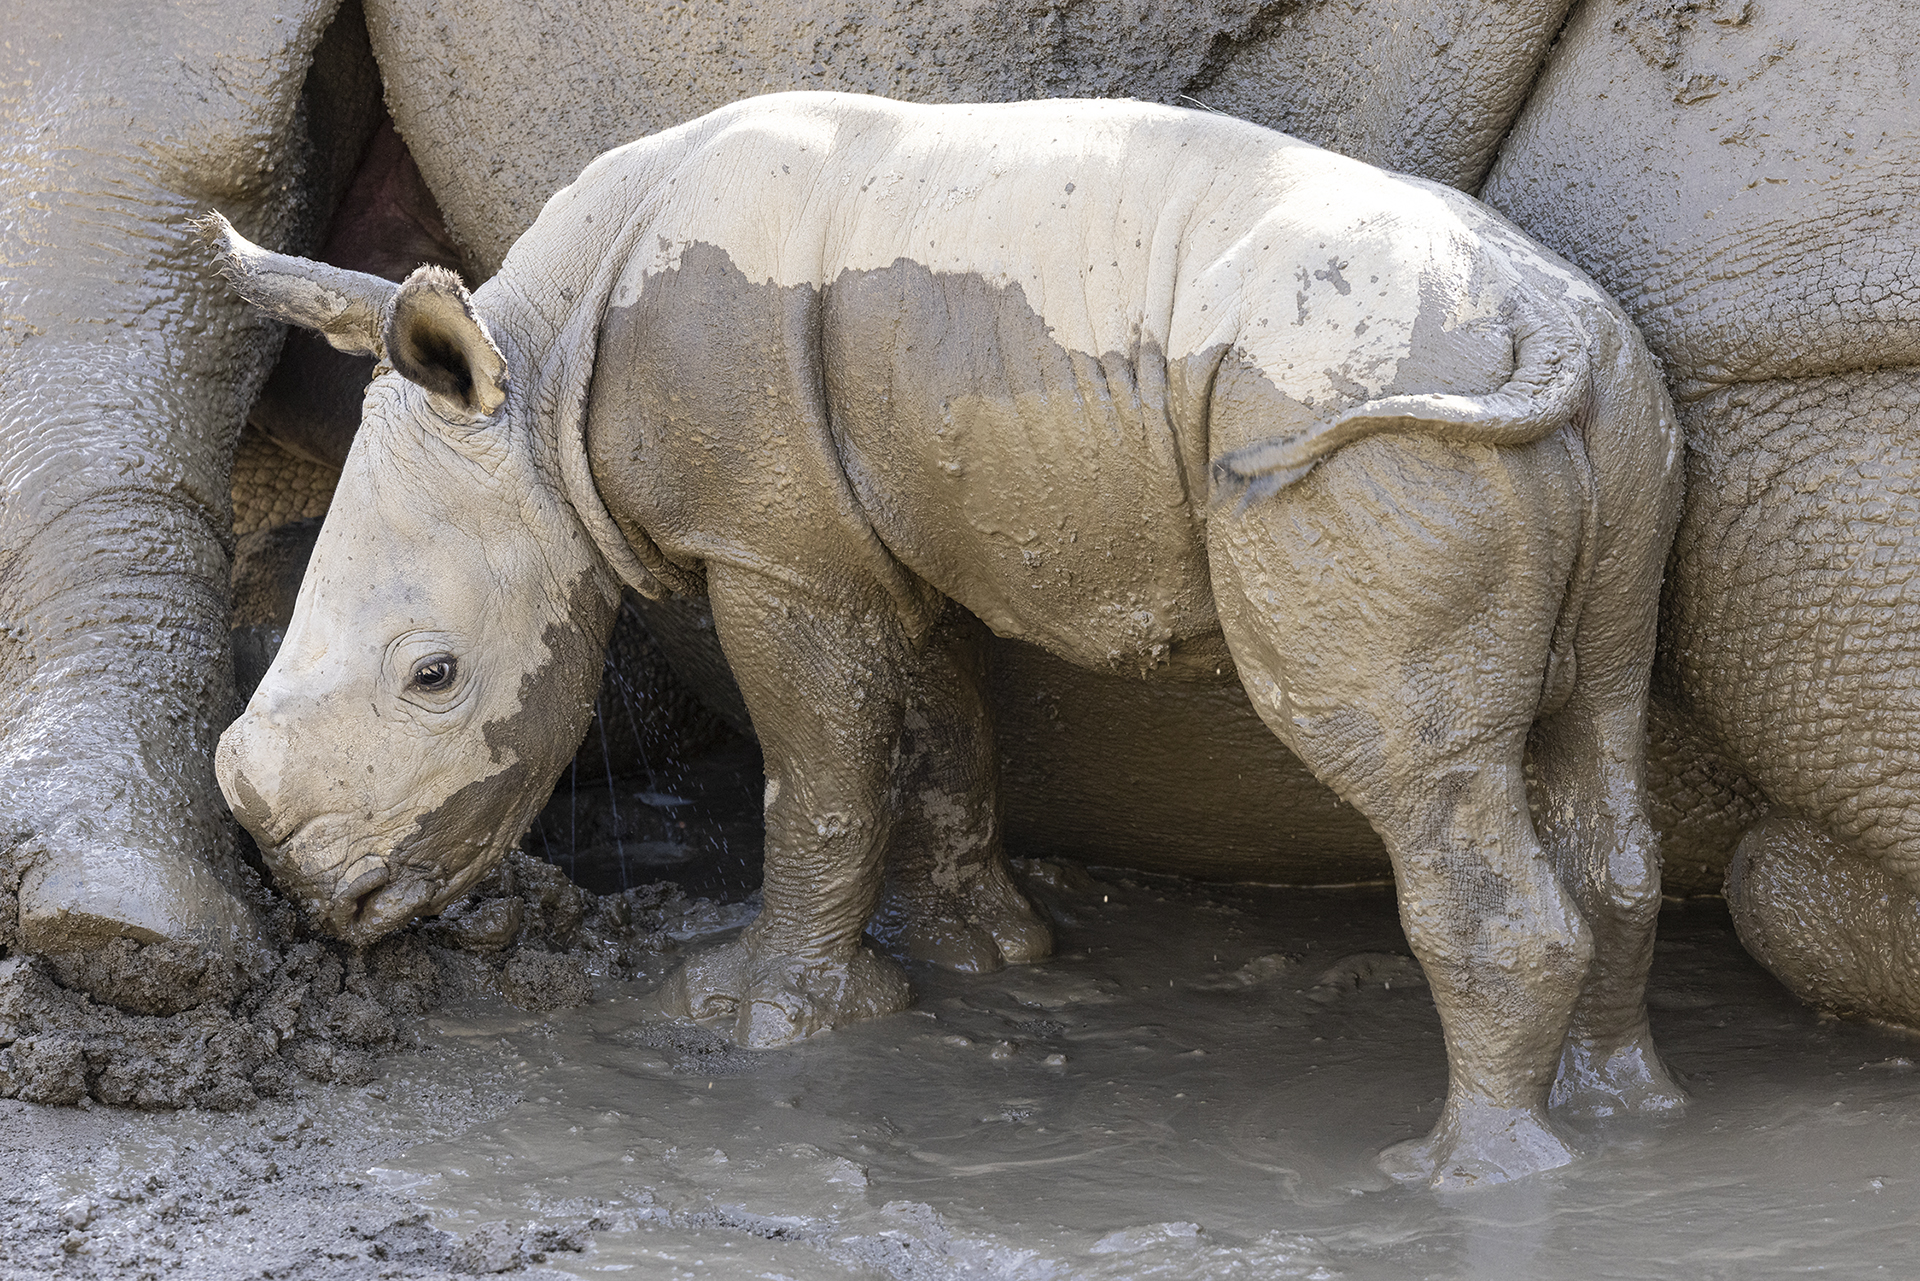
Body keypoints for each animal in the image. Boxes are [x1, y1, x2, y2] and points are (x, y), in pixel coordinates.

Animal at [209, 91, 1682, 1188]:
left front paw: (763, 1016)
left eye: (434, 677)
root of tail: (1541, 326)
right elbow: (940, 732)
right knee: (1600, 731)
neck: (538, 364)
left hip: (1379, 432)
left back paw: (1459, 1174)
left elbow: (818, 781)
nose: (314, 893)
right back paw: (1623, 1110)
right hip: (1618, 412)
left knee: (1408, 766)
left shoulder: (777, 554)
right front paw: (986, 953)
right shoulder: (882, 533)